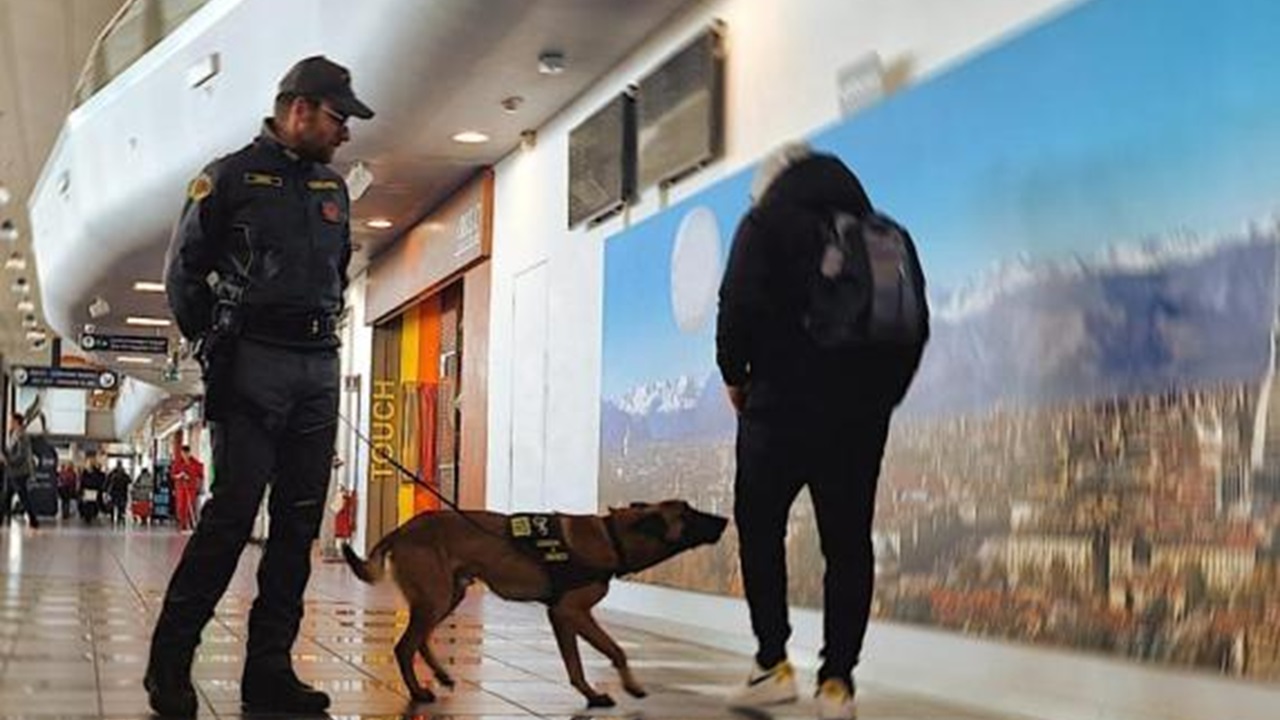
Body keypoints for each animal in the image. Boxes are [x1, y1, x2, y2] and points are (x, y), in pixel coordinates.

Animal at [340, 497, 727, 702]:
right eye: (688, 513)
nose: (725, 519)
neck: (612, 536)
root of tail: (401, 530)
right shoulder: (572, 612)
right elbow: (614, 649)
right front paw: (626, 686)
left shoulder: (562, 616)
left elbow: (576, 662)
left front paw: (590, 693)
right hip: (436, 599)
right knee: (405, 645)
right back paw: (418, 692)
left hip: (448, 595)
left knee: (420, 639)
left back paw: (441, 675)